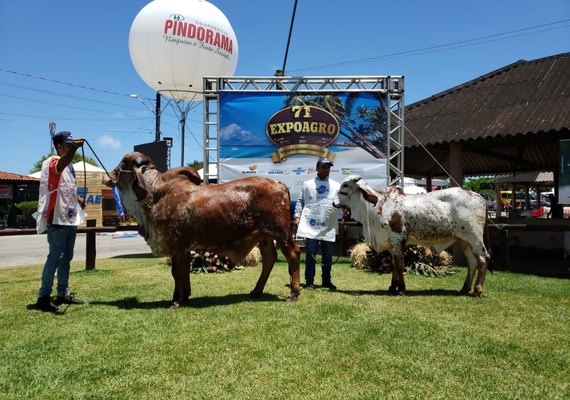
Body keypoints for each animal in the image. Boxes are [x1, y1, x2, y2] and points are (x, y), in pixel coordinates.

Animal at [107, 152, 302, 308]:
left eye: (123, 163)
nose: (109, 175)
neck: (155, 195)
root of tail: (279, 183)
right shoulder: (184, 248)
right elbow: (183, 272)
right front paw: (185, 296)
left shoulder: (177, 245)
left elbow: (176, 273)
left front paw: (175, 301)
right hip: (265, 235)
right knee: (269, 259)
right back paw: (256, 290)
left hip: (282, 233)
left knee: (293, 255)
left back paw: (293, 293)